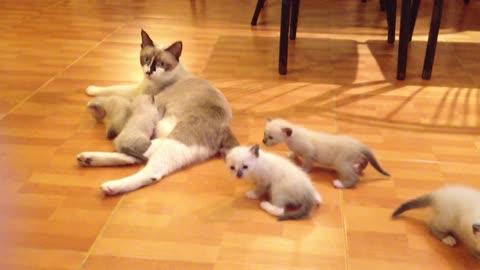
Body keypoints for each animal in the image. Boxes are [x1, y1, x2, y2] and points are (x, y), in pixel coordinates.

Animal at [78, 29, 240, 195]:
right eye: (146, 59)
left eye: (162, 64)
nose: (149, 72)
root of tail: (226, 127)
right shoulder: (138, 89)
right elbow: (115, 87)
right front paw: (92, 91)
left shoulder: (138, 93)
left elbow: (114, 90)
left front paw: (92, 96)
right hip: (162, 139)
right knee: (136, 156)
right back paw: (87, 158)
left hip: (175, 141)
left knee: (151, 172)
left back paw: (110, 186)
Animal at [262, 117, 390, 189]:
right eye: (264, 134)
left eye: (271, 137)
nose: (263, 141)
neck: (290, 139)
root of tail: (358, 144)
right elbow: (295, 152)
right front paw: (292, 155)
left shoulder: (309, 154)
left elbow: (307, 165)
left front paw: (303, 170)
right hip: (354, 158)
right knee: (365, 160)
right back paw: (358, 168)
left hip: (341, 163)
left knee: (355, 178)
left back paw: (341, 184)